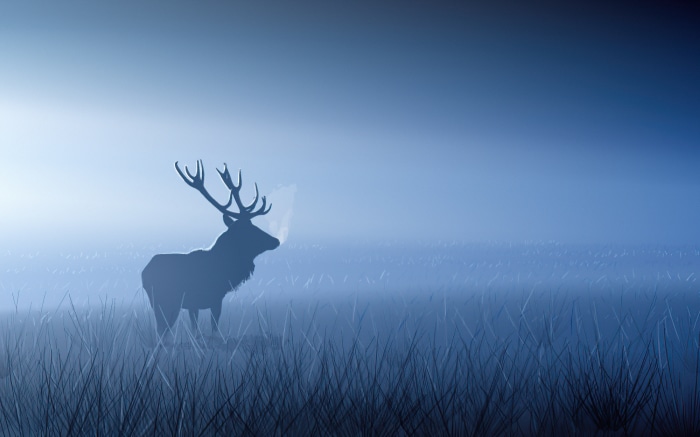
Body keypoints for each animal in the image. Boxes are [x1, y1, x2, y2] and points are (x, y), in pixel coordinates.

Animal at [142, 160, 280, 337]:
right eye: (249, 230)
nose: (275, 240)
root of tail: (144, 272)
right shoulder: (215, 298)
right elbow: (213, 328)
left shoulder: (194, 304)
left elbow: (195, 328)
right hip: (166, 301)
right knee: (162, 330)